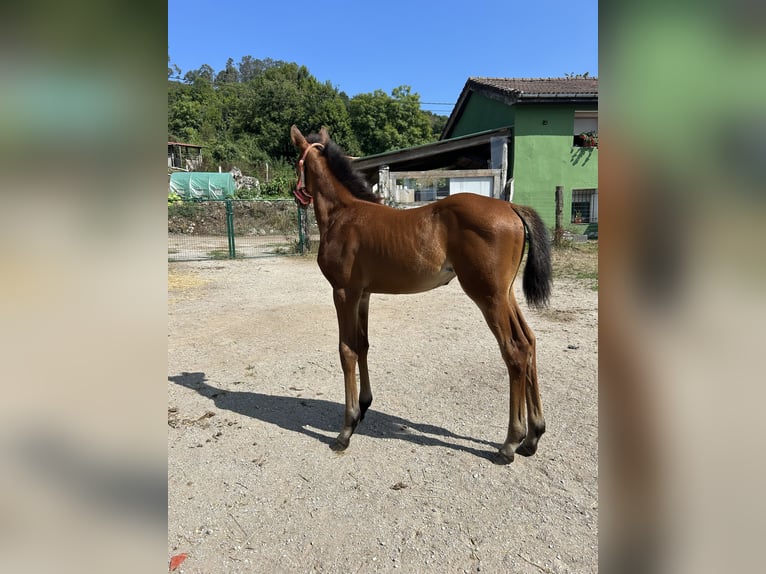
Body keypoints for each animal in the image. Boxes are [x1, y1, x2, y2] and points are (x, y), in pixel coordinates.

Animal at [290, 125, 552, 463]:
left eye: (296, 160)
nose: (295, 193)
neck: (342, 214)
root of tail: (510, 206)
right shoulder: (363, 295)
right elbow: (363, 345)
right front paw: (363, 407)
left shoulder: (343, 293)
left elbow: (346, 350)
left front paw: (346, 430)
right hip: (506, 295)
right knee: (529, 342)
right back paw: (533, 437)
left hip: (488, 296)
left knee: (515, 351)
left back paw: (510, 443)